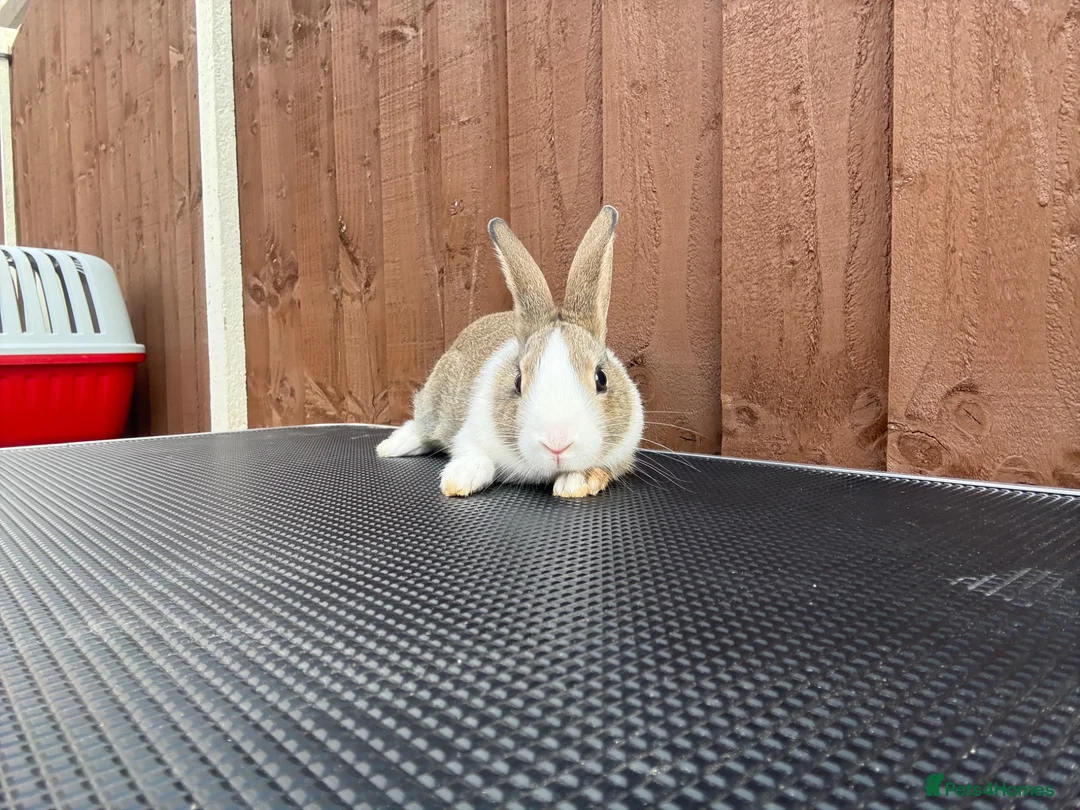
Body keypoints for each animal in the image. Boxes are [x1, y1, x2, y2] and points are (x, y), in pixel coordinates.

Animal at [376, 205, 644, 498]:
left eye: (601, 379)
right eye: (518, 382)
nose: (557, 443)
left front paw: (576, 482)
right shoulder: (470, 432)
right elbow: (472, 453)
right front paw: (461, 478)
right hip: (434, 403)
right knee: (422, 427)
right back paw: (390, 447)